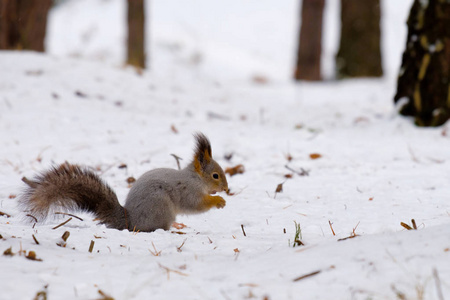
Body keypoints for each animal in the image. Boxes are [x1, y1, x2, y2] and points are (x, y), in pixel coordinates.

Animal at [18, 134, 229, 232]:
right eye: (215, 176)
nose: (227, 189)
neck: (195, 178)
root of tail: (129, 221)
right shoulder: (188, 190)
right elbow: (195, 205)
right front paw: (218, 201)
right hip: (160, 206)